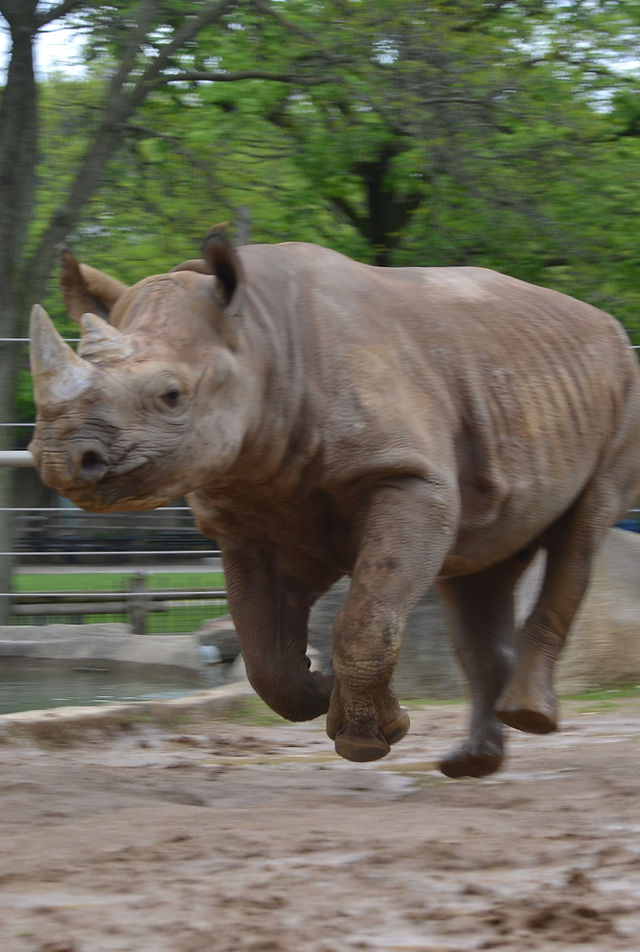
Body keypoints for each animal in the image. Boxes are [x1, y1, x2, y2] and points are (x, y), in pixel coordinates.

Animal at [28, 231, 640, 777]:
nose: (61, 458)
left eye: (171, 396)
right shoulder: (250, 512)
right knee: (480, 566)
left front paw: (368, 737)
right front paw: (326, 693)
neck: (259, 338)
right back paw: (472, 763)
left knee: (582, 530)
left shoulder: (409, 476)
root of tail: (600, 319)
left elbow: (365, 619)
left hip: (621, 381)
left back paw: (529, 715)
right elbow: (265, 655)